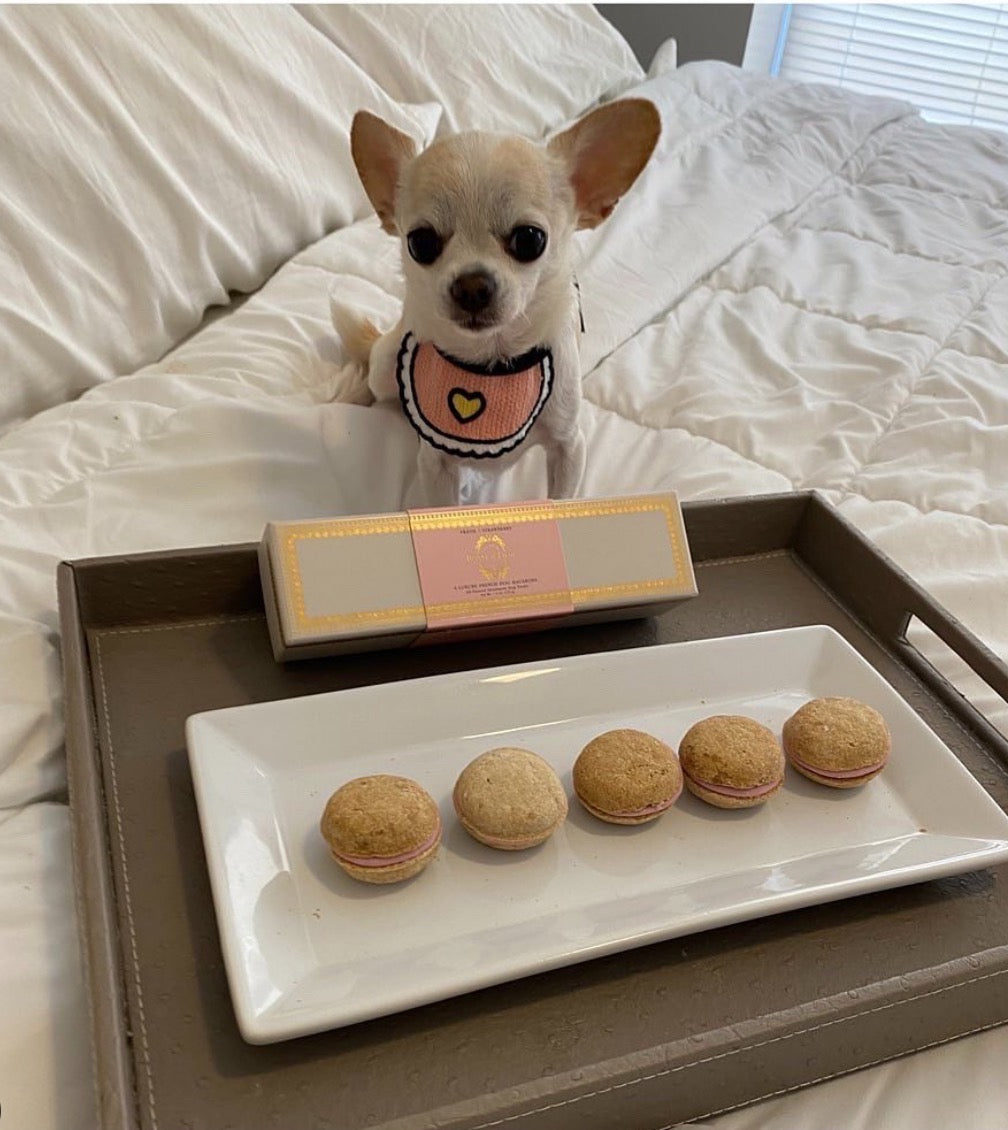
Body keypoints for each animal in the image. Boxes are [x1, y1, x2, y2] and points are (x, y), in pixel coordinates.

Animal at [332, 99, 659, 506]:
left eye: (530, 240)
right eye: (420, 243)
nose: (471, 286)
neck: (492, 361)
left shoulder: (569, 447)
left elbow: (562, 498)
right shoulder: (436, 464)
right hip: (386, 361)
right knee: (376, 375)